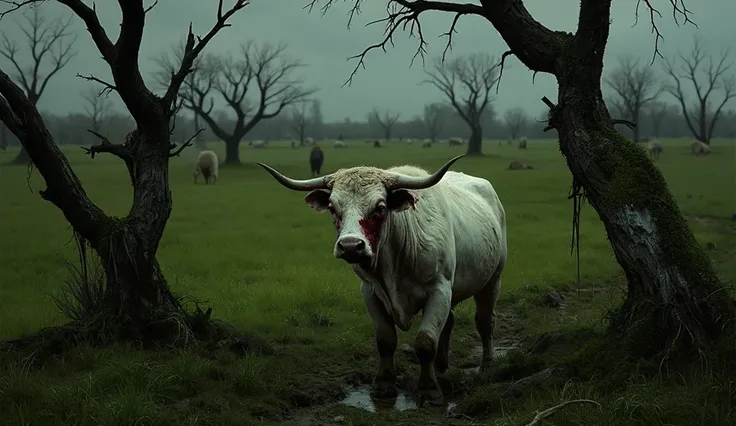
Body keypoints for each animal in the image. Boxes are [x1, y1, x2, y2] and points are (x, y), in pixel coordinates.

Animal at [258, 155, 506, 404]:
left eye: (380, 207)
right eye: (332, 207)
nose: (350, 246)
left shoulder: (439, 289)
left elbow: (425, 342)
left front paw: (428, 390)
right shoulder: (370, 292)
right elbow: (385, 340)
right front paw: (384, 384)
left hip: (493, 279)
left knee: (485, 321)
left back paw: (487, 364)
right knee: (450, 323)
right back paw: (442, 366)